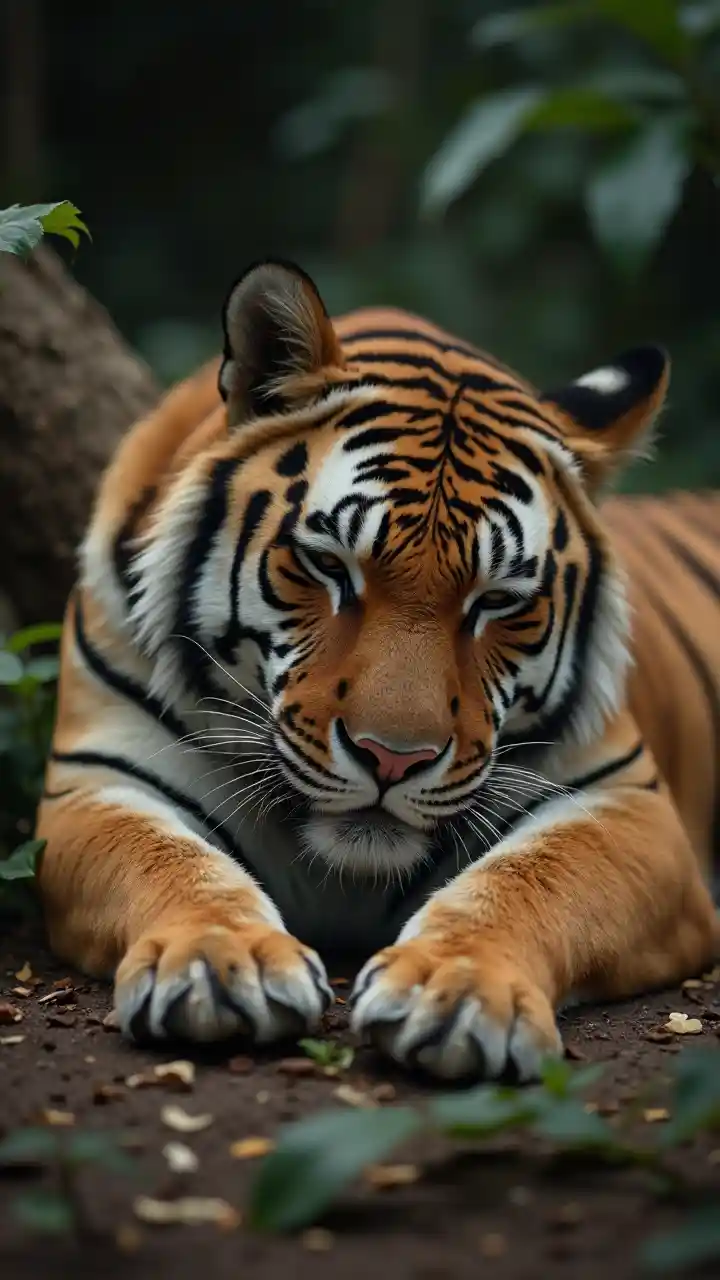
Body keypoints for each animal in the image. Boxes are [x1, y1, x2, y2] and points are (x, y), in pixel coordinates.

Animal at [36, 259, 720, 1082]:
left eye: (497, 601)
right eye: (330, 566)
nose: (393, 759)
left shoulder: (629, 806)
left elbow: (531, 882)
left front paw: (456, 988)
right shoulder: (98, 778)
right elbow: (169, 861)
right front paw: (221, 961)